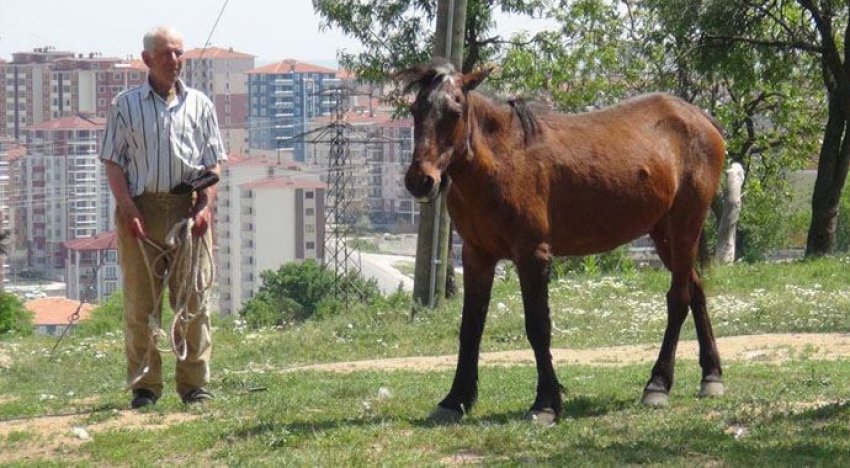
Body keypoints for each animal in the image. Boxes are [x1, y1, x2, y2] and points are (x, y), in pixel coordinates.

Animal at [398, 58, 724, 424]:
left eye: (454, 111)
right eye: (415, 109)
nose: (421, 180)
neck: (502, 160)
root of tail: (701, 119)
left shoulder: (532, 255)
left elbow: (538, 326)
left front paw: (545, 402)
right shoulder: (476, 255)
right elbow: (471, 326)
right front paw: (456, 399)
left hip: (685, 226)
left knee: (678, 298)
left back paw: (658, 384)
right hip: (664, 233)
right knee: (696, 289)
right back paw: (711, 375)